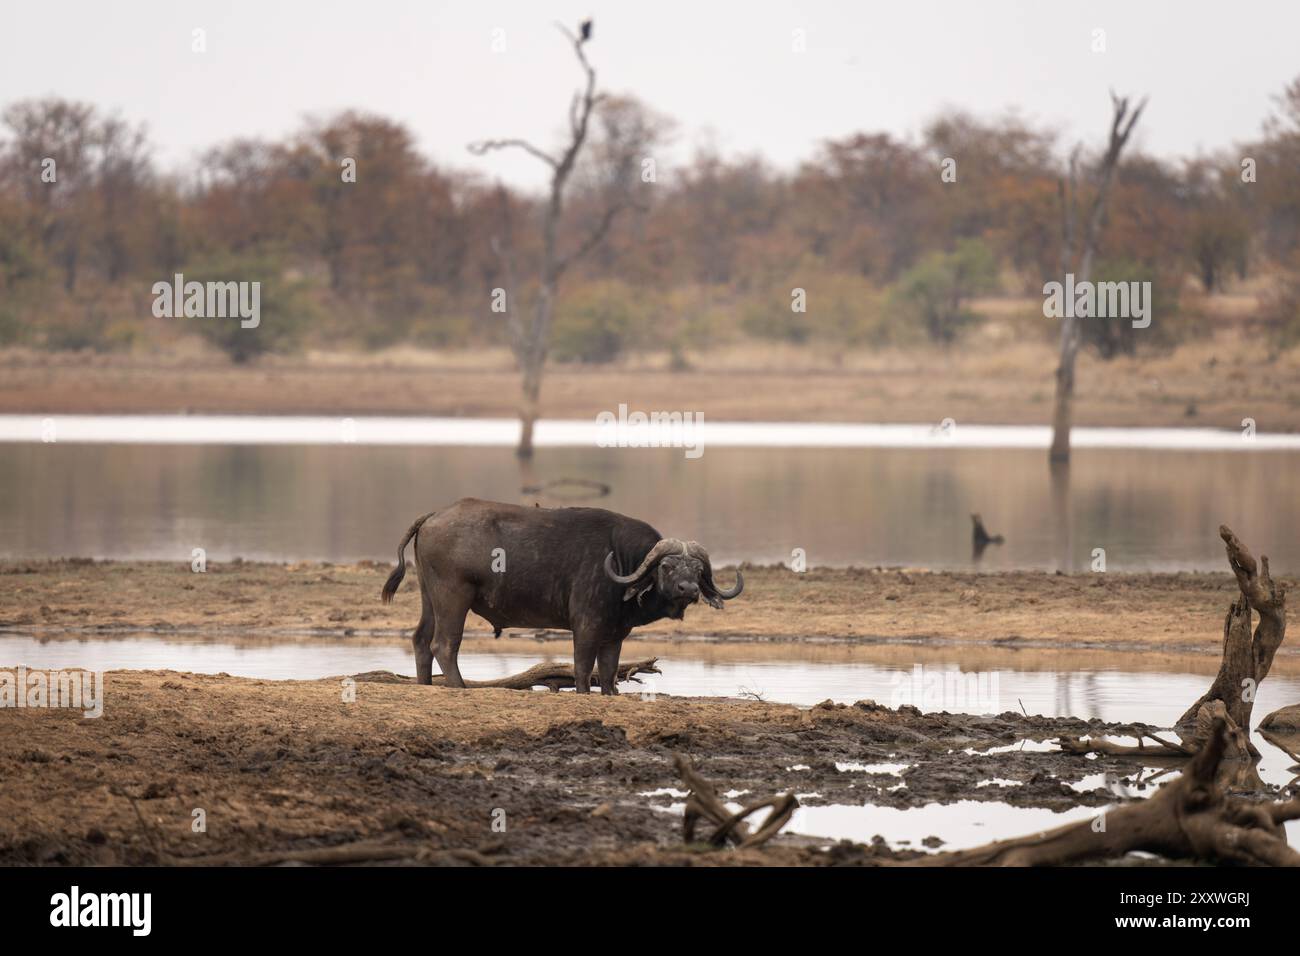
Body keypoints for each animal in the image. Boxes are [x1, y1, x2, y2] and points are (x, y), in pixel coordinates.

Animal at [377, 502, 743, 697]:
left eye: (698, 570)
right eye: (667, 566)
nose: (688, 590)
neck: (621, 561)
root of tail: (433, 515)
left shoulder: (615, 635)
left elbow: (608, 671)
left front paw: (610, 694)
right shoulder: (586, 626)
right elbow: (582, 668)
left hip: (429, 596)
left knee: (420, 640)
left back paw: (425, 686)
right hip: (454, 596)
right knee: (444, 644)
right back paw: (460, 687)